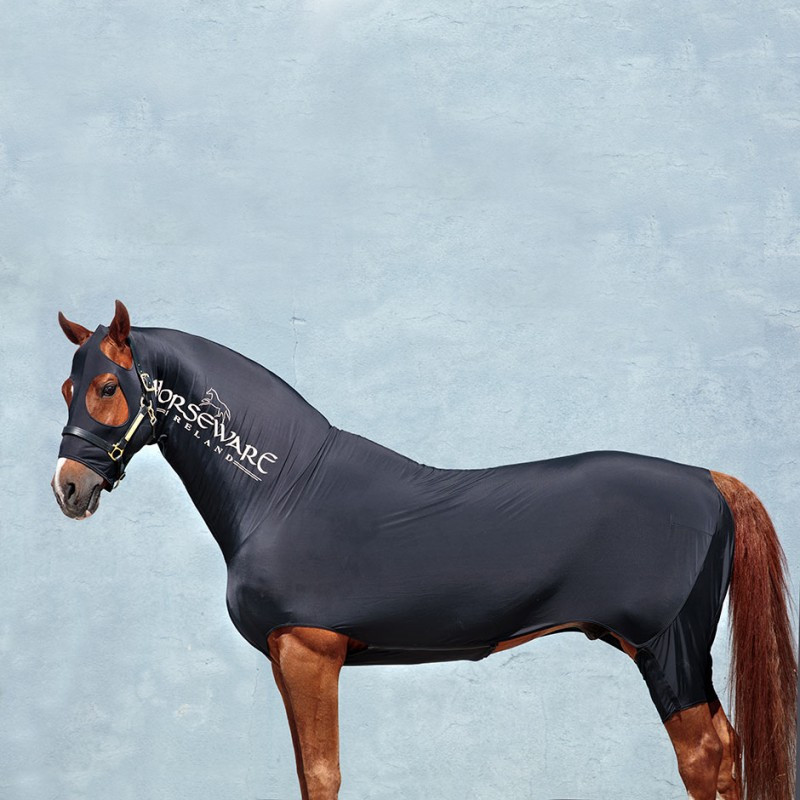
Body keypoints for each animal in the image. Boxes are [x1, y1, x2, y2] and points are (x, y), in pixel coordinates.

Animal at [52, 301, 796, 800]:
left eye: (109, 386)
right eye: (67, 387)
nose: (68, 488)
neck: (286, 491)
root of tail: (712, 480)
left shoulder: (308, 651)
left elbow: (322, 776)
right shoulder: (294, 658)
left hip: (666, 649)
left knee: (705, 757)